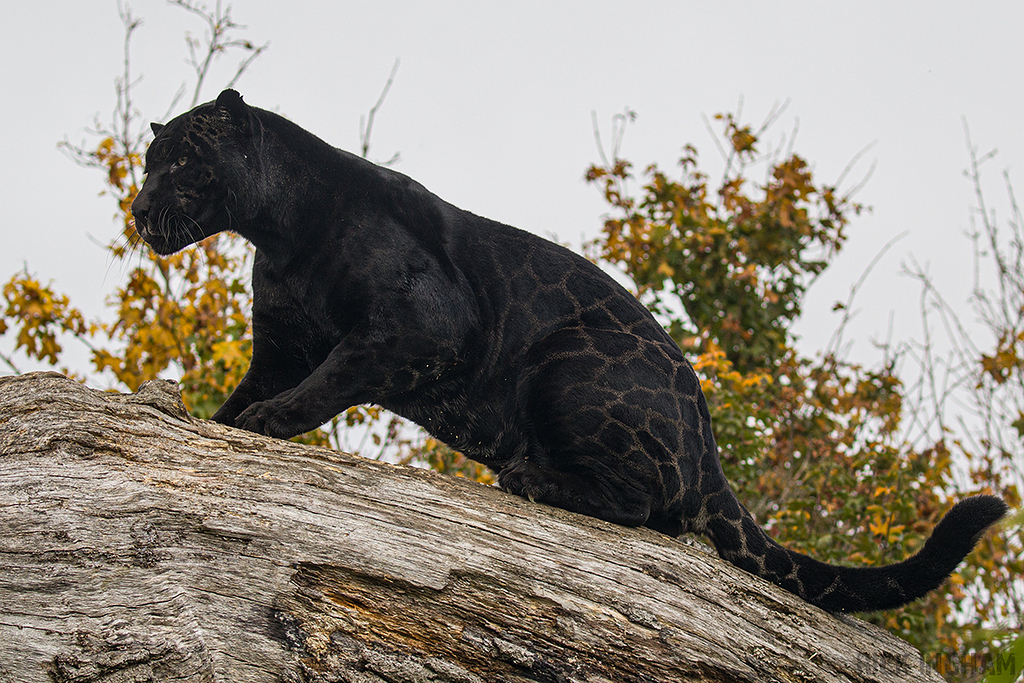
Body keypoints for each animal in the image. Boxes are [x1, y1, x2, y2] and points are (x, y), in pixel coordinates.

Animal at [131, 89, 1008, 612]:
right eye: (147, 163)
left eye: (181, 161)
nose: (137, 208)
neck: (276, 231)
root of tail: (710, 442)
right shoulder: (280, 347)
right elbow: (248, 391)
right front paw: (207, 418)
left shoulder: (420, 328)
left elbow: (329, 378)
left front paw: (267, 425)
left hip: (567, 366)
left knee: (645, 505)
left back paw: (528, 476)